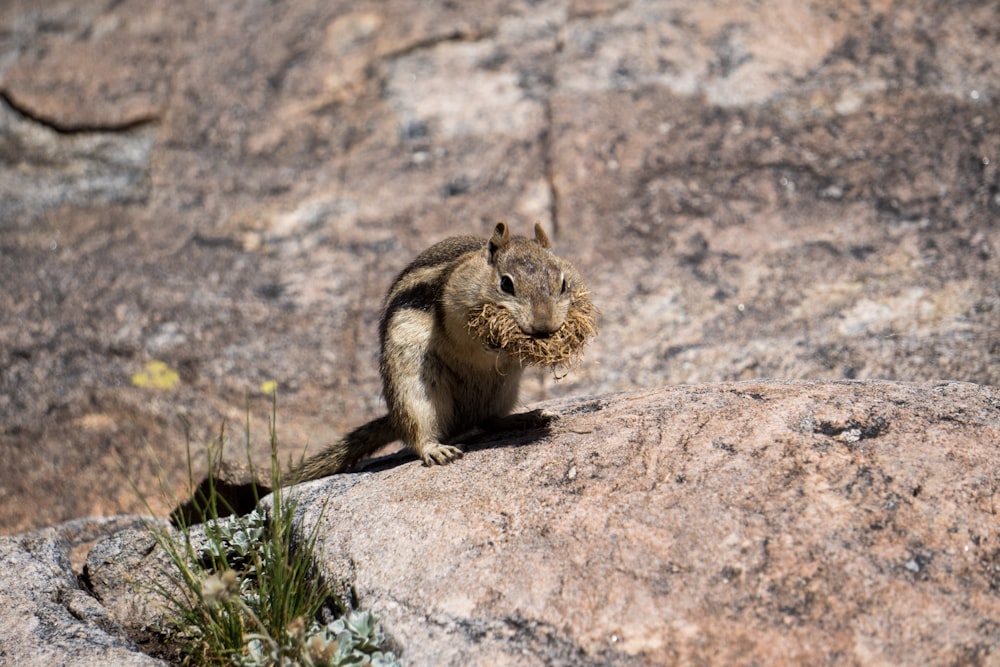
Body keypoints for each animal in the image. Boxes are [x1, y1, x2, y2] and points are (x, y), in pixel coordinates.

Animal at [292, 222, 596, 482]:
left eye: (563, 284)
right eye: (506, 284)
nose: (544, 326)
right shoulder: (453, 309)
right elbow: (469, 339)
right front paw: (496, 342)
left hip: (504, 391)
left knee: (489, 420)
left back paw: (530, 416)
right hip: (413, 390)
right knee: (420, 431)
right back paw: (436, 449)